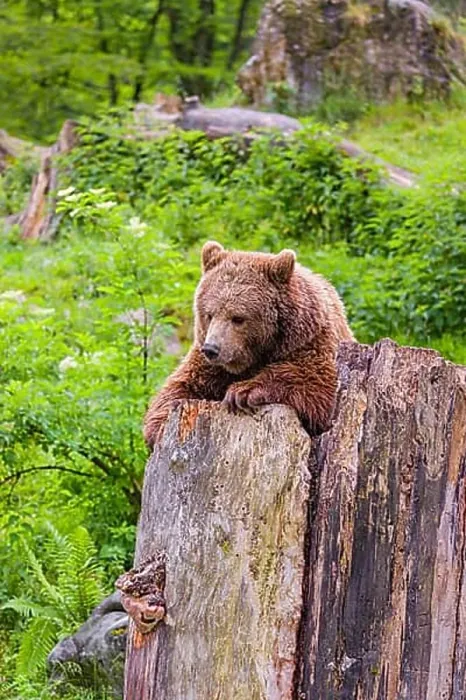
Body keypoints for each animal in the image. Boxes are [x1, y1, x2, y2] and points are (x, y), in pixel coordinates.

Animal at [143, 241, 355, 448]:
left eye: (238, 318)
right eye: (209, 314)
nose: (212, 349)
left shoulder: (312, 342)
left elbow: (318, 384)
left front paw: (242, 392)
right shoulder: (208, 364)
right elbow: (180, 386)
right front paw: (159, 428)